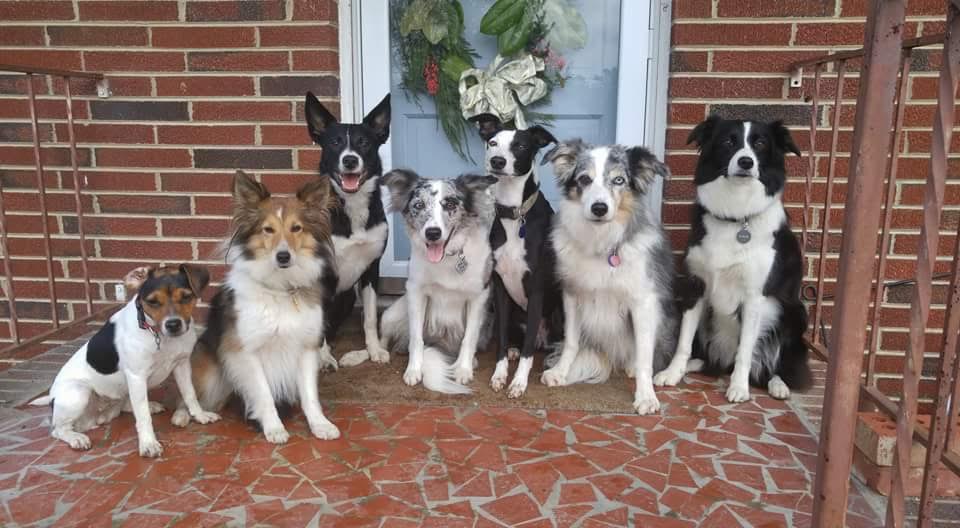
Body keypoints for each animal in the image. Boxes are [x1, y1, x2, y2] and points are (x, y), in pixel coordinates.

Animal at [652, 115, 808, 402]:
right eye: (728, 142)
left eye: (760, 143)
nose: (746, 162)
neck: (737, 217)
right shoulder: (695, 285)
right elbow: (683, 341)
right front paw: (672, 372)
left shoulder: (755, 296)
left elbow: (745, 350)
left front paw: (739, 388)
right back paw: (695, 365)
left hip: (794, 313)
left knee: (774, 363)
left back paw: (777, 385)